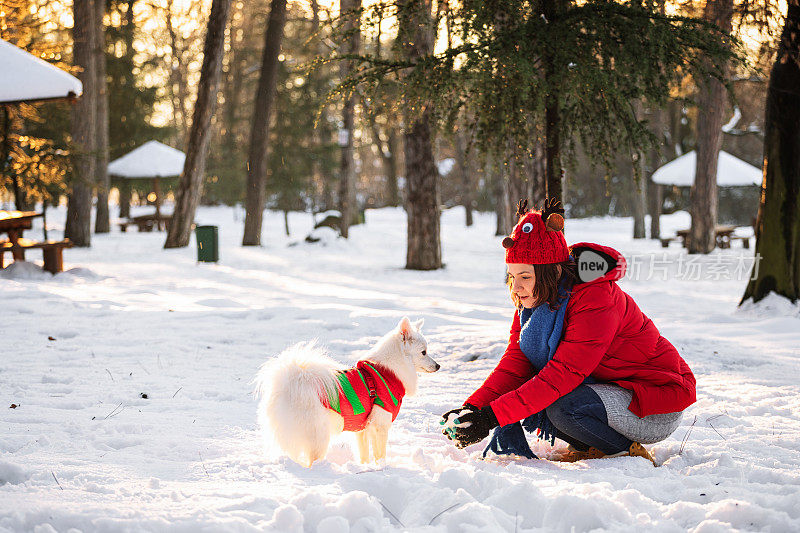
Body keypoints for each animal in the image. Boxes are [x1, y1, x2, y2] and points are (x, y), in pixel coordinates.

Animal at [255, 316, 438, 466]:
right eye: (424, 352)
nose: (438, 366)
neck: (388, 372)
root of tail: (292, 383)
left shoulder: (362, 429)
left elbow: (364, 454)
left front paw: (365, 467)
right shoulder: (380, 425)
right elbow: (380, 454)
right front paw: (382, 467)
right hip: (318, 435)